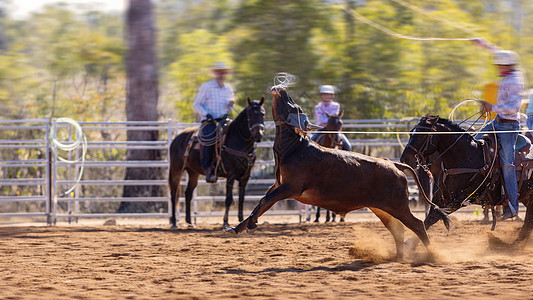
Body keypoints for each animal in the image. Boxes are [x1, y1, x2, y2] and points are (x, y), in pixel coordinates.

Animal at [168, 97, 264, 229]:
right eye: (251, 114)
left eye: (263, 113)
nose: (258, 134)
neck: (237, 141)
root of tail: (176, 139)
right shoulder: (231, 175)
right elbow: (228, 199)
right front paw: (225, 223)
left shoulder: (245, 176)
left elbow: (242, 198)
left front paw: (241, 220)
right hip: (176, 170)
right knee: (174, 194)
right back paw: (174, 222)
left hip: (193, 173)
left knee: (188, 193)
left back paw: (189, 221)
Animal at [223, 87, 444, 260]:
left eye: (294, 107)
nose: (281, 90)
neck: (294, 148)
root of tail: (395, 165)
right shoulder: (278, 185)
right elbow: (263, 203)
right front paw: (237, 227)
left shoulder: (289, 188)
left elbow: (264, 201)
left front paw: (250, 223)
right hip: (382, 209)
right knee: (399, 231)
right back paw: (398, 257)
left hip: (398, 206)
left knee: (418, 225)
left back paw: (432, 255)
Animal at [400, 115, 532, 244]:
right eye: (411, 133)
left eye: (421, 135)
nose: (404, 159)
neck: (466, 158)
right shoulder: (441, 195)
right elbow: (428, 219)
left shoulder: (461, 198)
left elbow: (434, 217)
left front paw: (410, 246)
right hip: (527, 198)